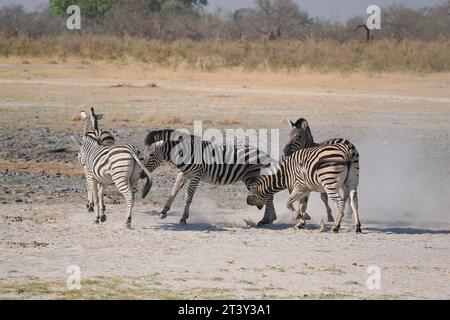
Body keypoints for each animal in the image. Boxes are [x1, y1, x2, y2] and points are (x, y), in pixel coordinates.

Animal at [142, 130, 276, 225]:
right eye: (143, 154)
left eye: (151, 154)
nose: (142, 174)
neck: (185, 154)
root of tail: (264, 154)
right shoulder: (182, 174)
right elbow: (173, 192)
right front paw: (163, 212)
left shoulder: (196, 176)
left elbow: (188, 197)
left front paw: (184, 218)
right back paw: (271, 218)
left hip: (252, 177)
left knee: (268, 194)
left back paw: (266, 220)